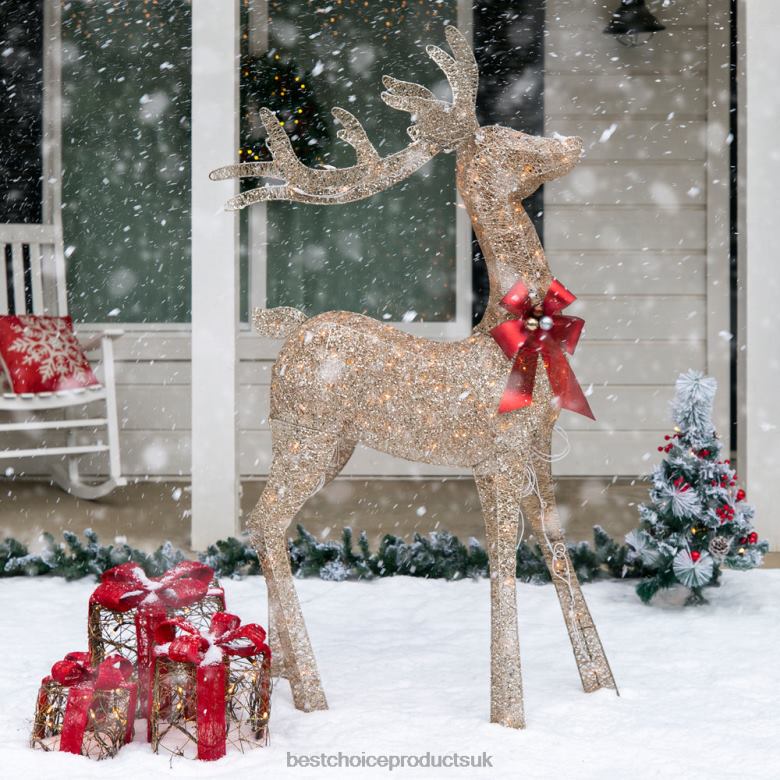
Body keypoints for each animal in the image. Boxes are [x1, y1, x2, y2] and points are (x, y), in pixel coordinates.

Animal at [210, 26, 617, 729]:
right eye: (507, 142)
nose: (568, 143)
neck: (511, 332)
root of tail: (289, 332)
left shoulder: (536, 449)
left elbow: (556, 544)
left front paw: (604, 689)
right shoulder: (497, 455)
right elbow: (505, 557)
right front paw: (510, 716)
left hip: (315, 443)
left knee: (273, 527)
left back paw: (282, 681)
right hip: (309, 436)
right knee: (263, 522)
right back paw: (312, 692)